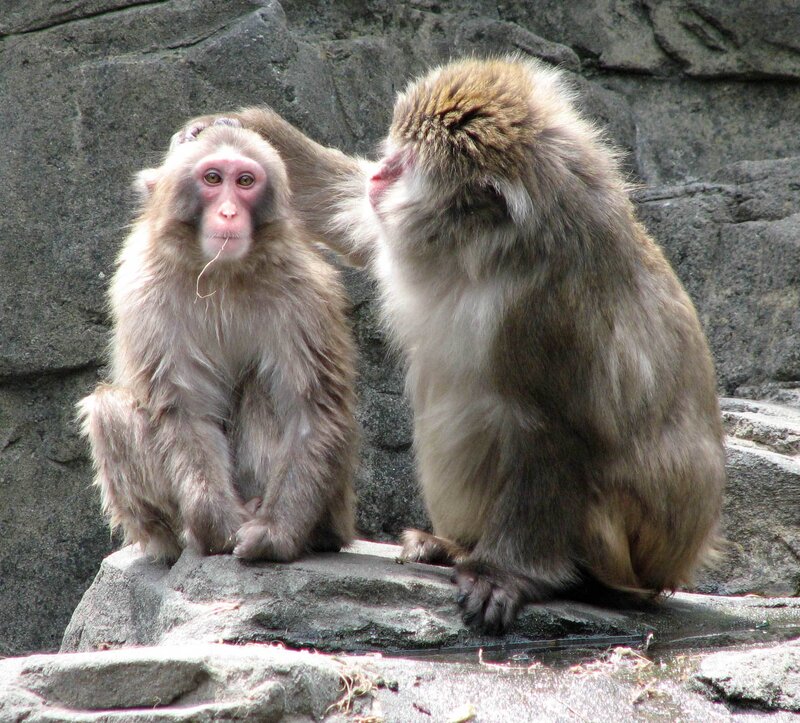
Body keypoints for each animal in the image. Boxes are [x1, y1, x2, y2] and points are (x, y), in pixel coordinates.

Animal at [78, 123, 358, 564]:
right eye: (212, 179)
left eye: (244, 182)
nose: (228, 212)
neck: (222, 274)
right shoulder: (144, 290)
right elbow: (183, 411)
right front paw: (220, 529)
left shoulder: (304, 291)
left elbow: (310, 409)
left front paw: (275, 533)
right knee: (108, 408)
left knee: (263, 387)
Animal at [175, 57, 725, 632]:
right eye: (392, 155)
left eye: (403, 165)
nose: (380, 173)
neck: (485, 250)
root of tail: (680, 561)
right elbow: (348, 209)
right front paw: (240, 127)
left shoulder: (548, 306)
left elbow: (556, 431)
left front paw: (507, 575)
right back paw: (451, 546)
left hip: (627, 549)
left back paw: (575, 580)